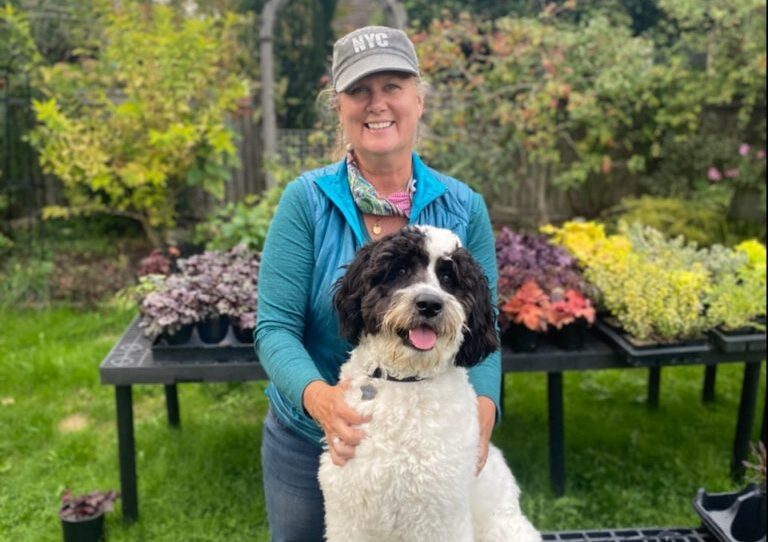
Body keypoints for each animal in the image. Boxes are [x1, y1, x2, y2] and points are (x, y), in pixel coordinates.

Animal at [318, 225, 540, 542]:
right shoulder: (350, 517)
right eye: (400, 270)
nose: (430, 304)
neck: (406, 380)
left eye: (449, 279)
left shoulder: (438, 519)